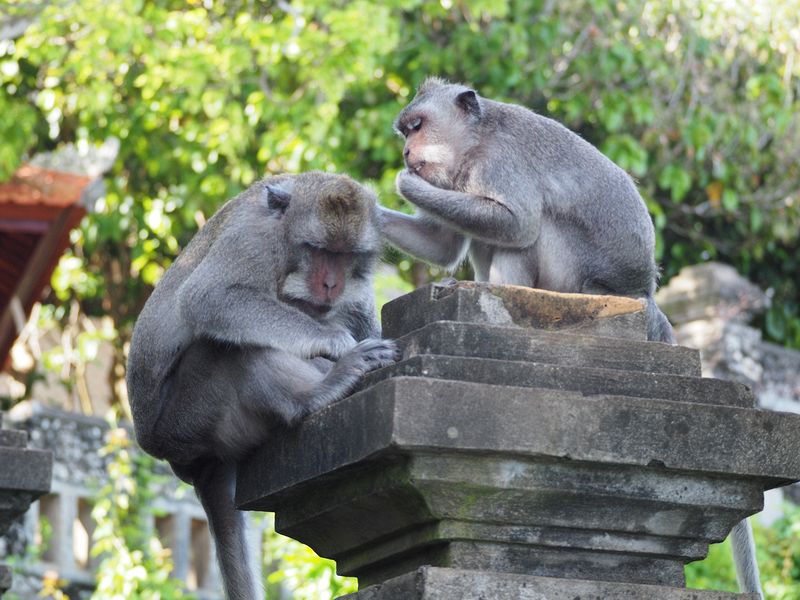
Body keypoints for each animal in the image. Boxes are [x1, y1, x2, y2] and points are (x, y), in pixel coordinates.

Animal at [126, 171, 398, 596]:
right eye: (317, 249)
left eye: (344, 255)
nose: (330, 284)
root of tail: (193, 465)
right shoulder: (252, 239)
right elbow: (211, 298)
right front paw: (336, 342)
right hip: (187, 420)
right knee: (232, 351)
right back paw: (318, 391)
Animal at [382, 77, 676, 344]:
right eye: (406, 132)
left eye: (417, 126)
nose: (406, 152)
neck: (475, 141)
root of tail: (642, 292)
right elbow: (444, 246)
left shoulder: (500, 160)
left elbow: (519, 225)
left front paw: (405, 183)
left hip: (576, 284)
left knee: (531, 233)